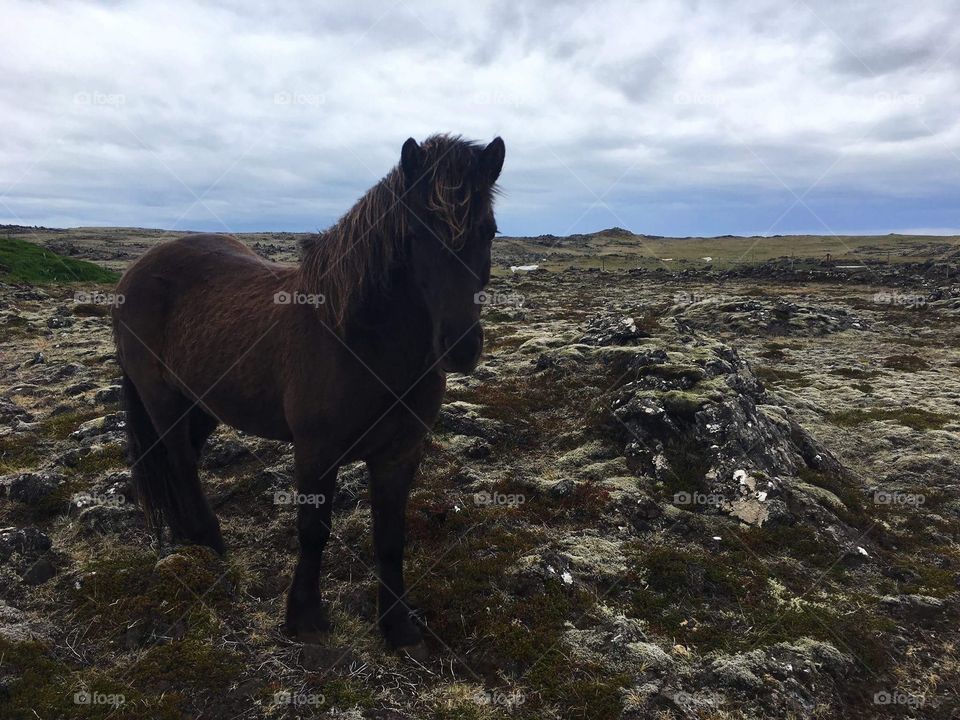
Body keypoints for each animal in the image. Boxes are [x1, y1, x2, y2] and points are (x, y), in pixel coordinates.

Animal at [112, 134, 505, 651]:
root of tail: (135, 270)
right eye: (416, 236)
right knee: (179, 464)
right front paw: (305, 618)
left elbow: (390, 538)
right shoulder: (316, 451)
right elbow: (314, 531)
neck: (360, 341)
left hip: (202, 402)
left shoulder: (399, 454)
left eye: (490, 231)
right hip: (162, 400)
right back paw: (211, 545)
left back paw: (187, 538)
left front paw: (398, 627)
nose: (460, 347)